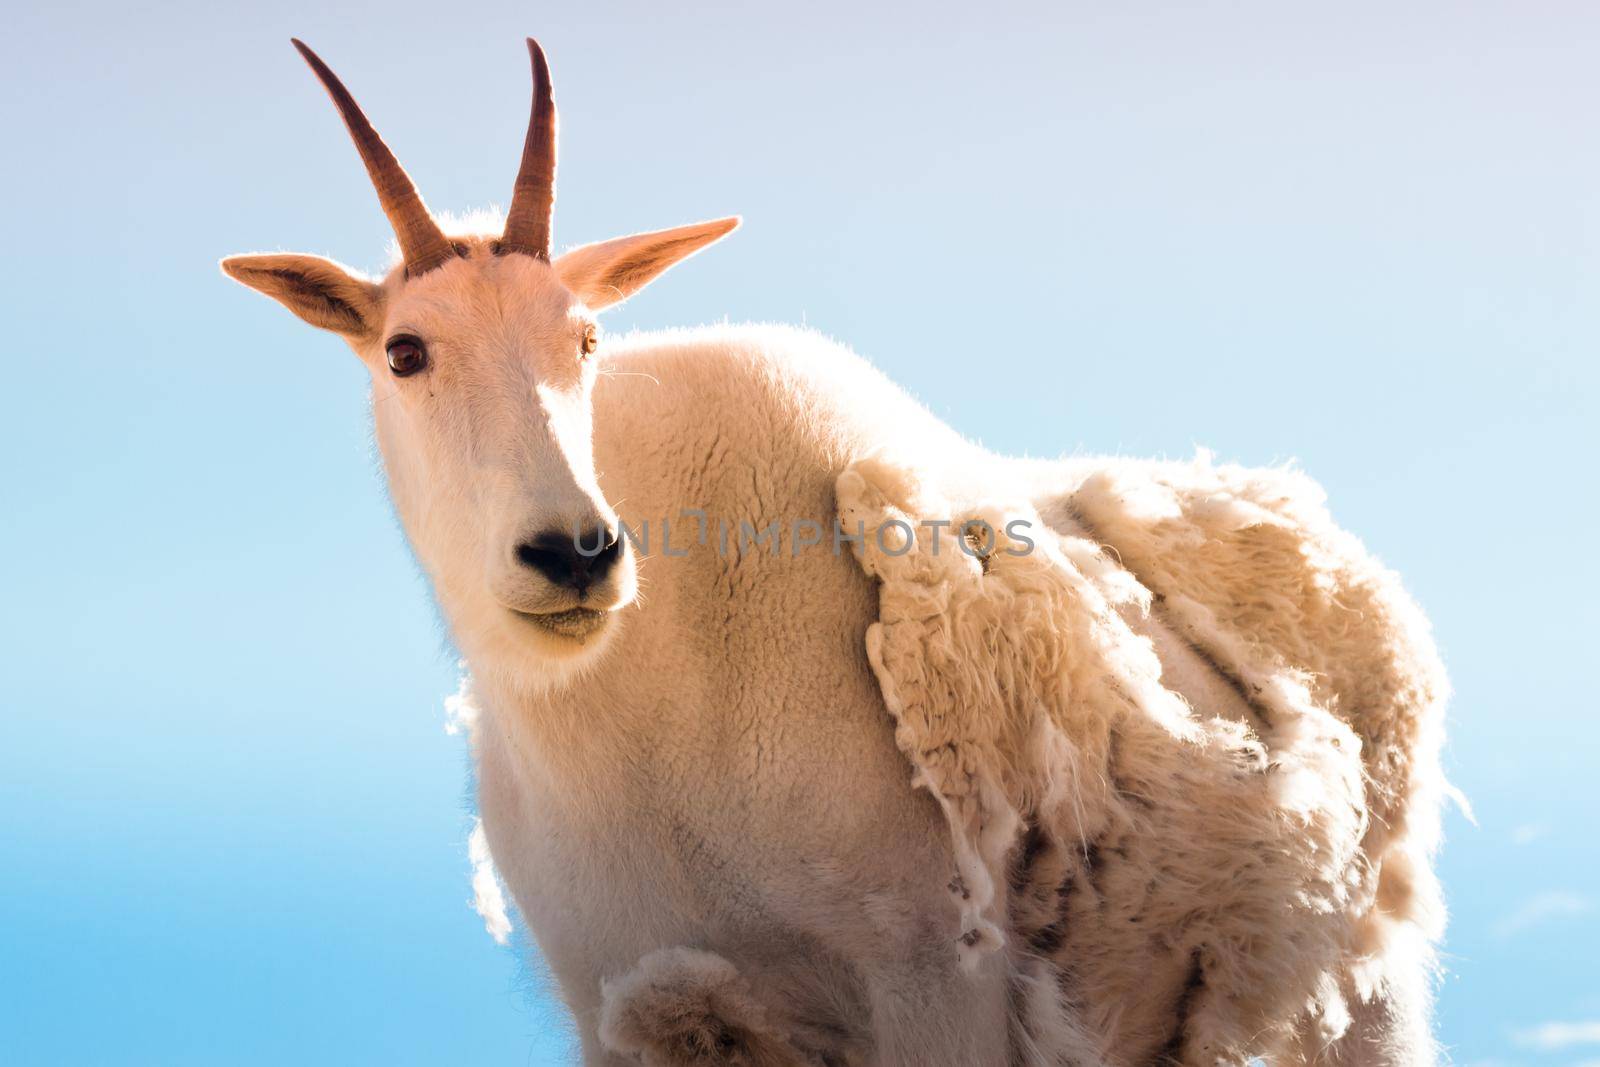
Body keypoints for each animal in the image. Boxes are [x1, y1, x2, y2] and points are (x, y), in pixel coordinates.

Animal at [219, 37, 1459, 1062]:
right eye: (406, 350)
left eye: (585, 338)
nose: (571, 556)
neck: (645, 702)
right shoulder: (637, 1007)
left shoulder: (932, 979)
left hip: (1361, 984)